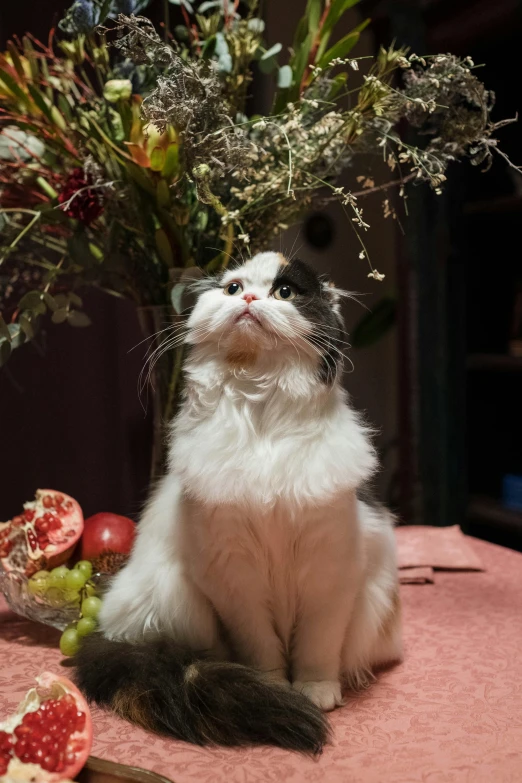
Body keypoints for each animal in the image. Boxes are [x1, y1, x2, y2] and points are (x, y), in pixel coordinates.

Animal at [74, 251, 398, 752]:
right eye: (232, 288)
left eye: (284, 292)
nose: (248, 301)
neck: (259, 404)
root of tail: (109, 631)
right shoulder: (236, 580)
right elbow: (262, 650)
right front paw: (275, 688)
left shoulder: (328, 574)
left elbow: (318, 649)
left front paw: (316, 691)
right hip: (173, 602)